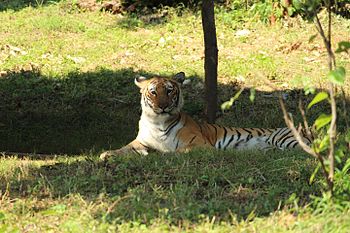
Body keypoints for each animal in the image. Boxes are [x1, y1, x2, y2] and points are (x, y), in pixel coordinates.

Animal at [99, 72, 312, 160]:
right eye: (153, 92)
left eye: (169, 91)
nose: (163, 106)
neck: (157, 121)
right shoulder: (140, 142)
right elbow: (124, 149)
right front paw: (106, 154)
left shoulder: (199, 144)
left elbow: (175, 151)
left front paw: (157, 155)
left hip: (283, 138)